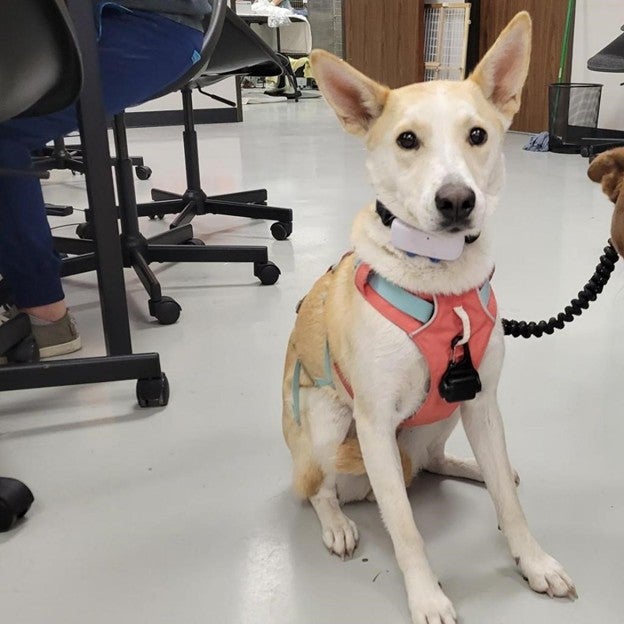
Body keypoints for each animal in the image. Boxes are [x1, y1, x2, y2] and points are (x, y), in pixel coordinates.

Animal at [282, 11, 576, 624]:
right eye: (407, 140)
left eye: (478, 135)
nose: (457, 200)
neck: (442, 282)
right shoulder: (372, 424)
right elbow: (405, 529)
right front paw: (427, 596)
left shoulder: (483, 401)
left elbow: (510, 504)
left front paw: (533, 562)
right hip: (326, 420)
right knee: (318, 488)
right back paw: (338, 523)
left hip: (446, 416)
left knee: (439, 461)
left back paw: (474, 467)